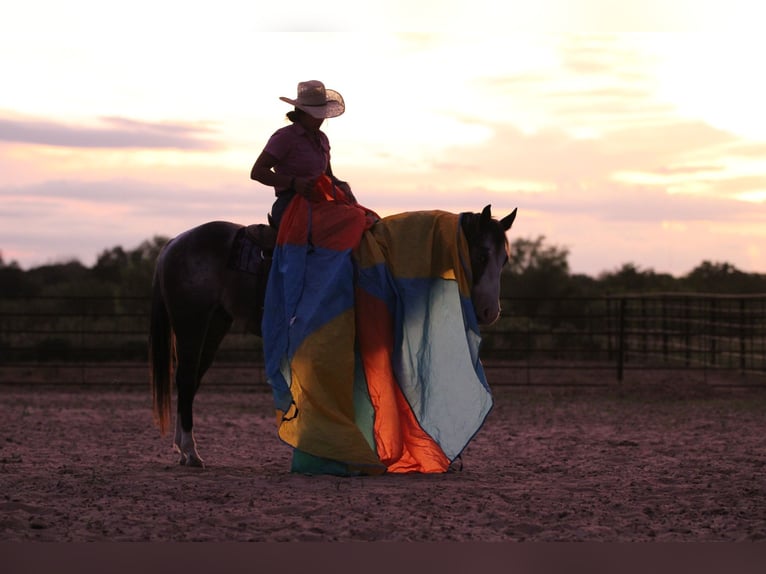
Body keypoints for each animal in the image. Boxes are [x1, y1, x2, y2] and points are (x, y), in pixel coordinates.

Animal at [150, 206, 520, 468]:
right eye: (482, 254)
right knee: (186, 379)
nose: (490, 311)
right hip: (192, 324)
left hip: (214, 326)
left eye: (505, 259)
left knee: (190, 382)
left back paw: (184, 451)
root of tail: (174, 243)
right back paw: (191, 453)